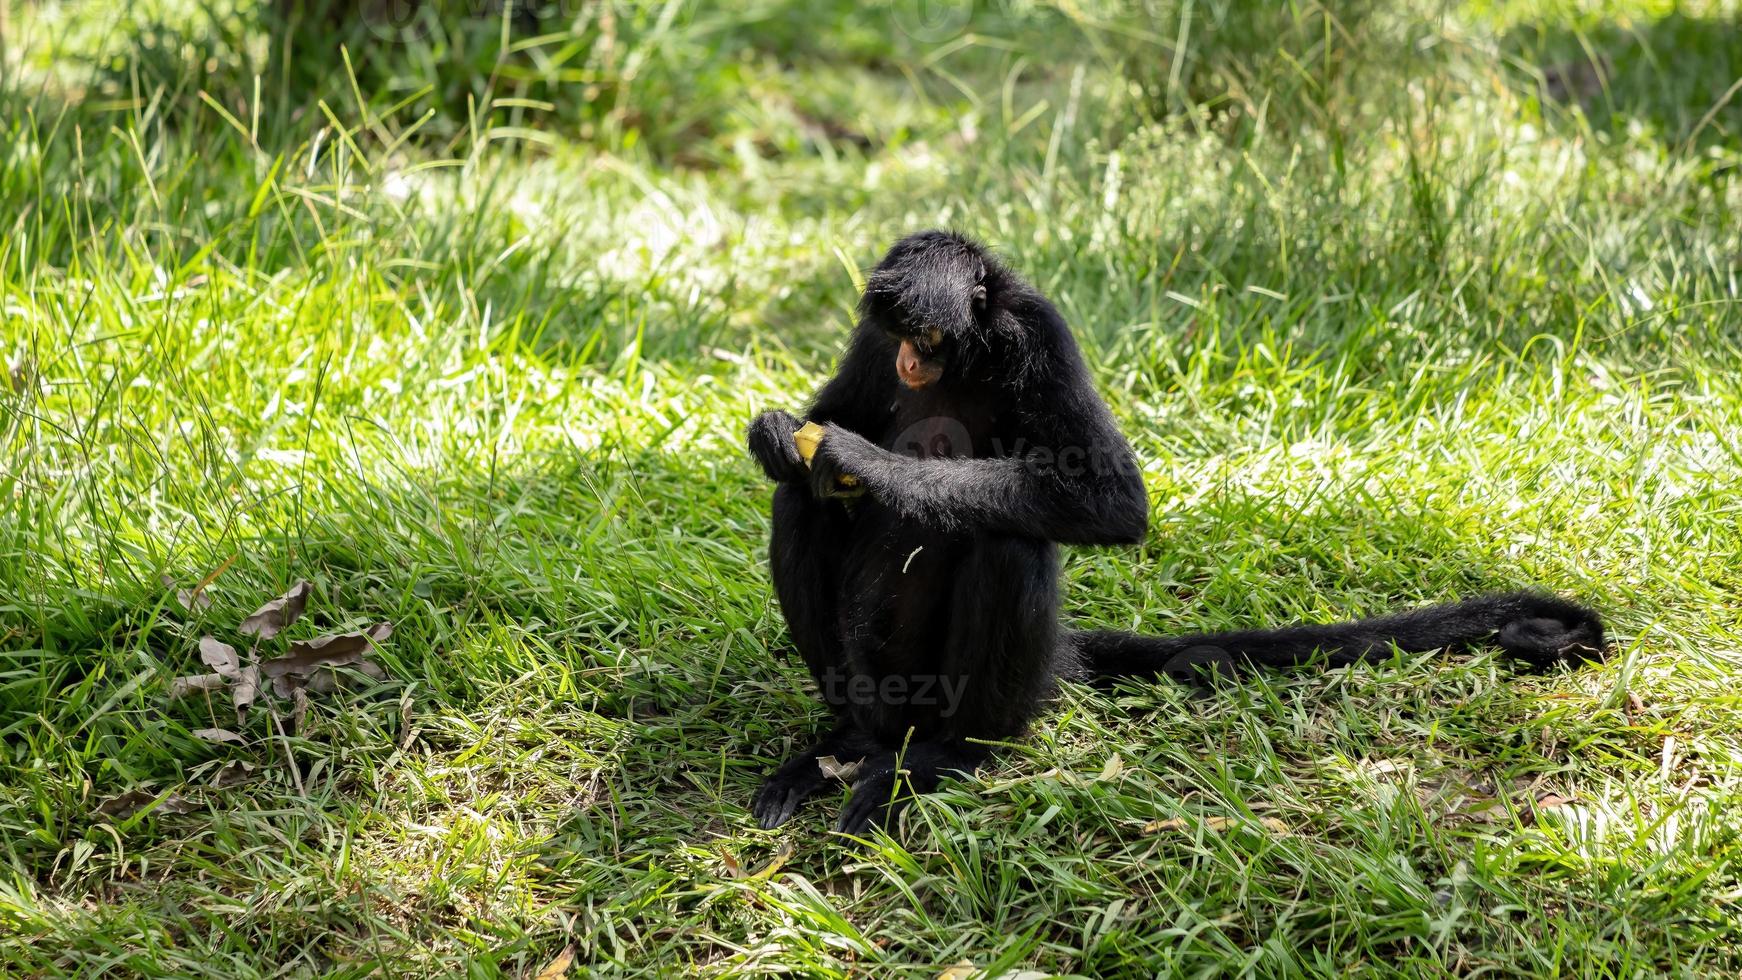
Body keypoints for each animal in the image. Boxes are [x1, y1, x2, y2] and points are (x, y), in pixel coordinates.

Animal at [742, 229, 1595, 835]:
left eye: (930, 335)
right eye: (901, 334)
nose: (913, 362)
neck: (969, 357)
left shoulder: (1038, 333)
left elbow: (1112, 502)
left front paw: (856, 458)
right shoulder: (874, 345)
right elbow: (817, 437)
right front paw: (778, 434)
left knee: (1007, 540)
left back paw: (945, 757)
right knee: (799, 504)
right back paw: (854, 741)